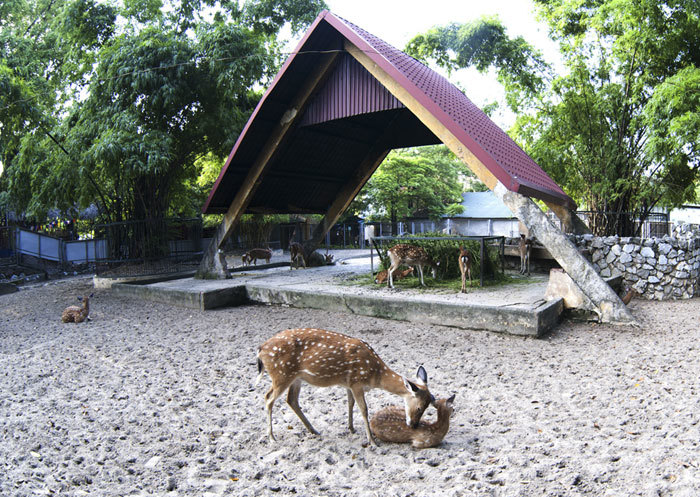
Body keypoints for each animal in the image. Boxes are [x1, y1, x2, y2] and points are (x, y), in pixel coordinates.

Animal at [256, 328, 432, 444]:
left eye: (428, 406)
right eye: (419, 407)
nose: (414, 425)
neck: (375, 375)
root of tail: (261, 349)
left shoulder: (348, 384)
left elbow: (350, 403)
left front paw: (351, 428)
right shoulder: (356, 382)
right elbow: (364, 409)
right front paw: (371, 441)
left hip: (295, 378)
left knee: (291, 400)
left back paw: (313, 430)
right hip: (281, 375)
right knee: (268, 398)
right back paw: (272, 437)